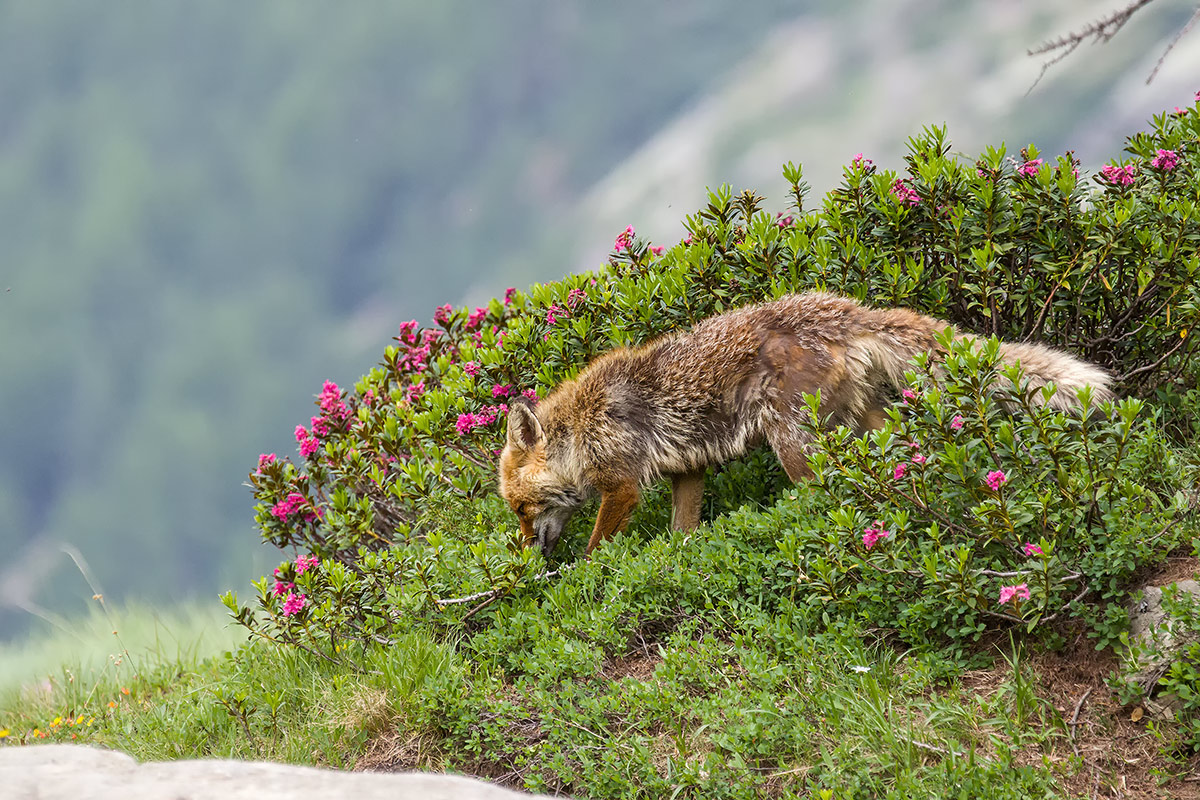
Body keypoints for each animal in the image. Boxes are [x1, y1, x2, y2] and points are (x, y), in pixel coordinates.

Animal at [499, 291, 1113, 556]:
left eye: (523, 510)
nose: (530, 553)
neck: (580, 431)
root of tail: (841, 309)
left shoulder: (622, 486)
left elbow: (597, 547)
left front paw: (587, 576)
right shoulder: (688, 470)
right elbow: (682, 531)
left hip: (794, 443)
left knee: (826, 495)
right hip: (860, 425)